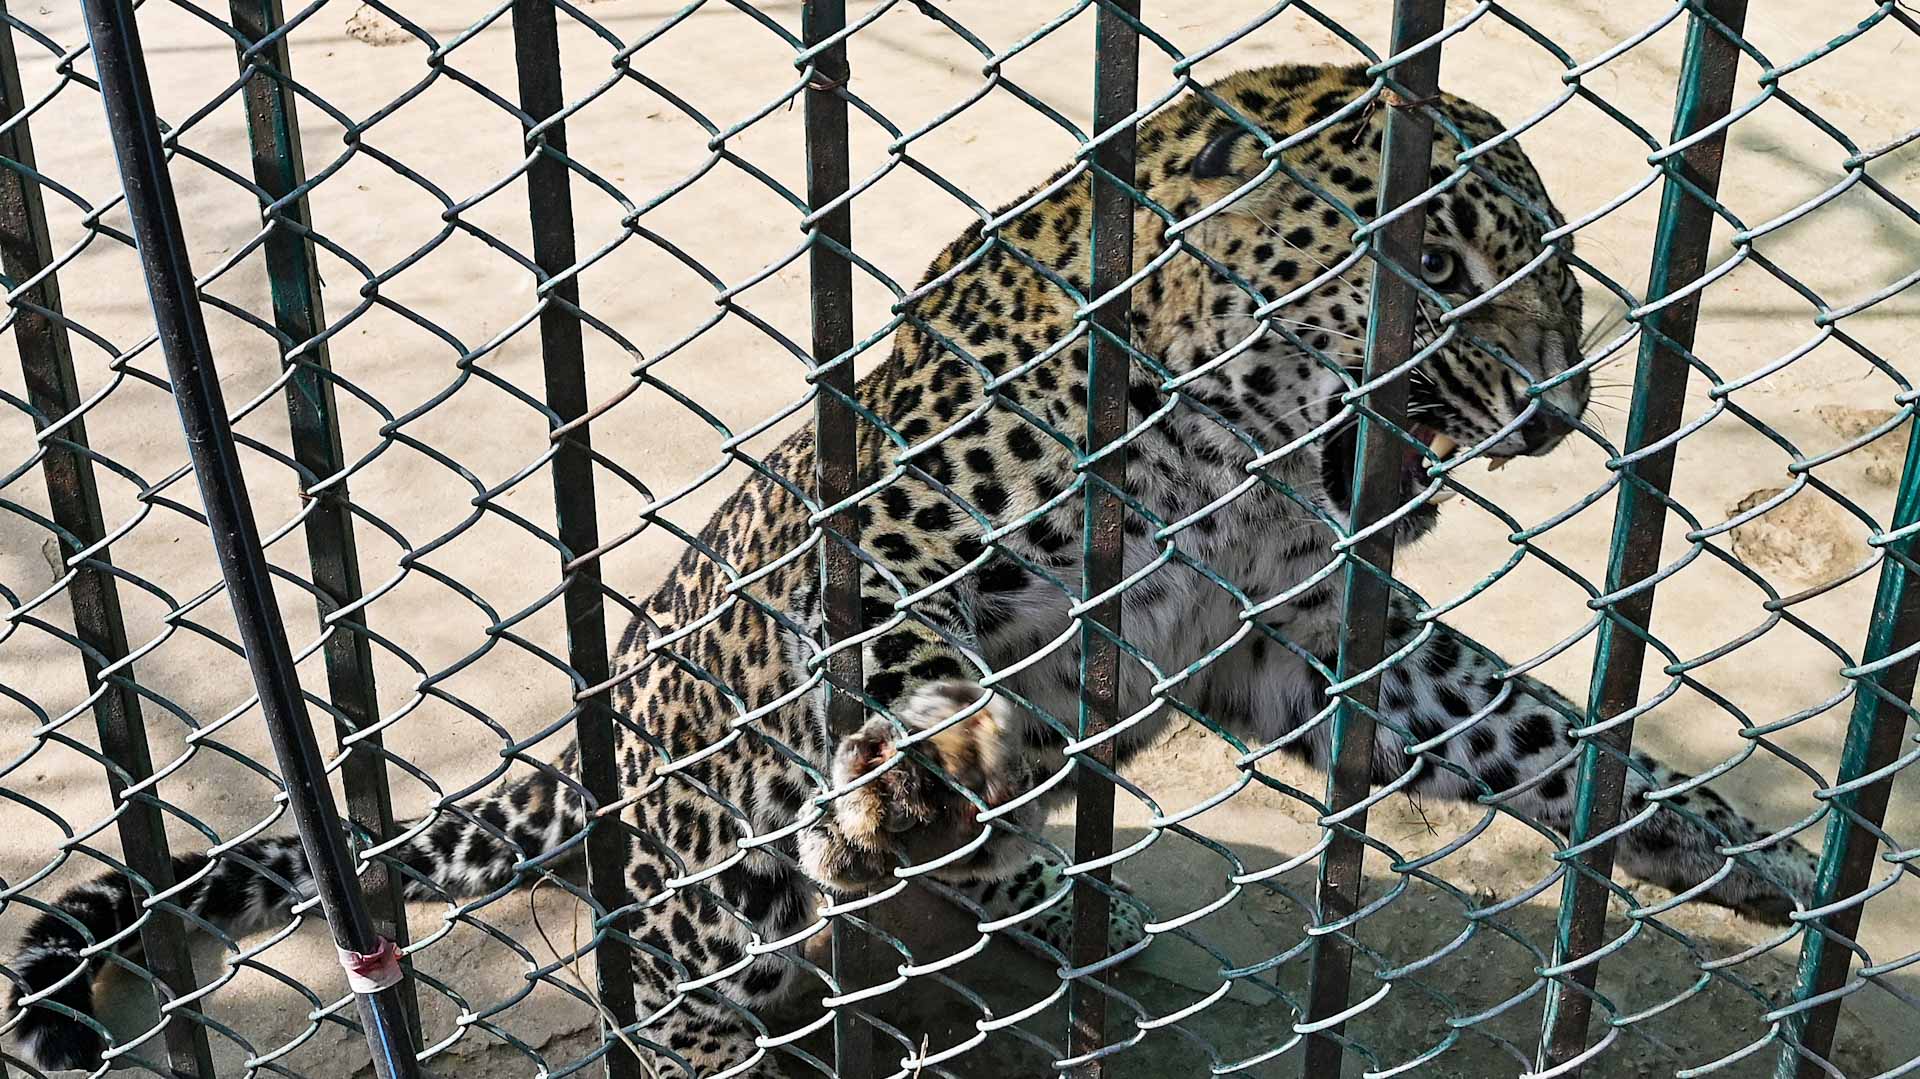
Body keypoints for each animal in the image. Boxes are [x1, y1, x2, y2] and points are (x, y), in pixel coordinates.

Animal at [6, 63, 1818, 1077]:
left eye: (1560, 281)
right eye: (1437, 262)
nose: (1562, 410)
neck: (1229, 465)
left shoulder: (1299, 637)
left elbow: (1529, 727)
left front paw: (1732, 850)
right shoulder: (891, 539)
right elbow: (904, 659)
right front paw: (926, 763)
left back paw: (1042, 890)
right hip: (712, 867)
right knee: (682, 981)